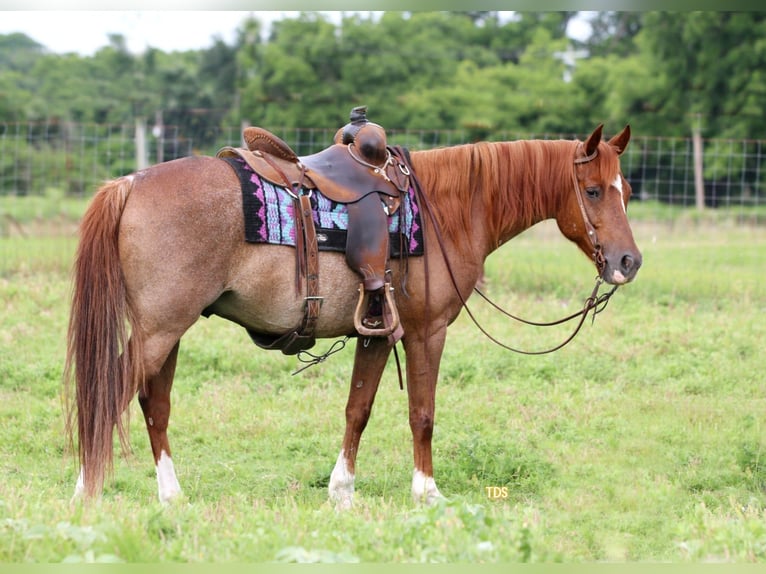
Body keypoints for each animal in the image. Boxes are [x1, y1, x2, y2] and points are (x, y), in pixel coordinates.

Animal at [65, 124, 641, 507]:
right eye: (593, 191)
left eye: (628, 191)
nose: (628, 262)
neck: (445, 210)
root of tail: (130, 183)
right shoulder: (425, 332)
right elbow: (422, 413)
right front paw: (427, 493)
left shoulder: (378, 332)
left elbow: (357, 410)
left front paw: (341, 492)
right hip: (161, 330)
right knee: (112, 392)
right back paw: (85, 492)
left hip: (166, 330)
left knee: (153, 404)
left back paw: (170, 495)